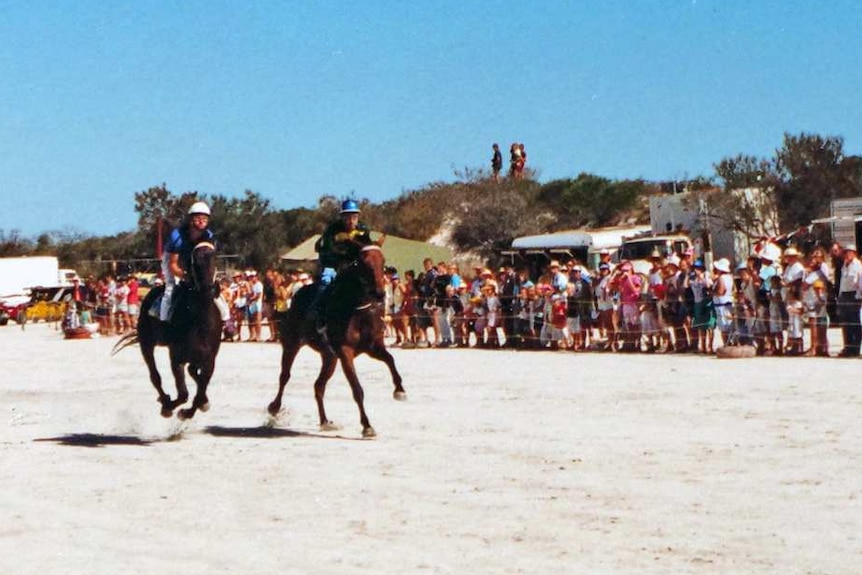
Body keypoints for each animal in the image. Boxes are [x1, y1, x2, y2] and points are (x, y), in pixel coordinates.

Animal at [113, 241, 224, 420]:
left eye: (214, 258)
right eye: (195, 261)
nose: (209, 289)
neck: (200, 322)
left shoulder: (209, 361)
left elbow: (200, 392)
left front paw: (191, 410)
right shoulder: (176, 358)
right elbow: (184, 394)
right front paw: (170, 407)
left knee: (192, 372)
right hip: (146, 342)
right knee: (155, 375)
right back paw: (164, 398)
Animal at [268, 241, 406, 438]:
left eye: (383, 261)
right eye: (363, 263)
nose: (380, 293)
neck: (356, 309)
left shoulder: (372, 347)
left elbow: (390, 360)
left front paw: (399, 390)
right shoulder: (345, 352)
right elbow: (357, 389)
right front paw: (367, 426)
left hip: (329, 357)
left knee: (318, 386)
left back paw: (325, 421)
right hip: (292, 344)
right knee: (285, 376)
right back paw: (274, 407)